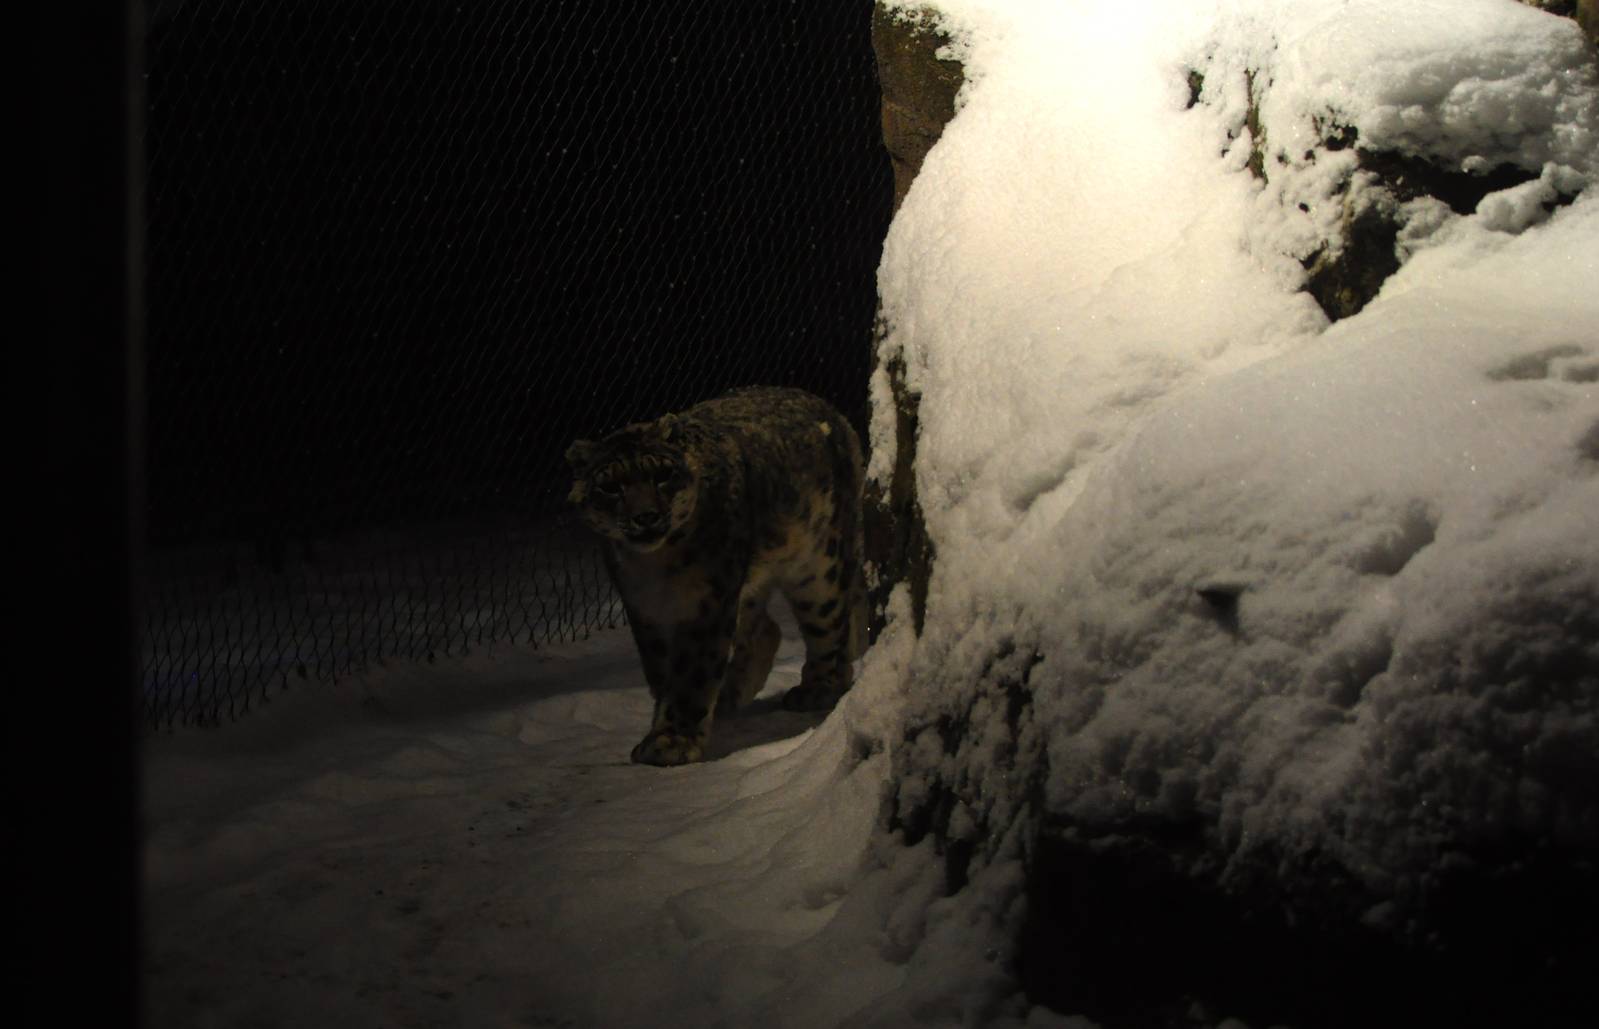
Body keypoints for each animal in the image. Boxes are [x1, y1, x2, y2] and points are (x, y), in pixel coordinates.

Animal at [566, 386, 869, 766]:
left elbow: (692, 671)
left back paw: (817, 688)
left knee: (829, 621)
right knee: (766, 629)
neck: (654, 568)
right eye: (610, 486)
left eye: (662, 475)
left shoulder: (705, 600)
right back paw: (727, 697)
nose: (646, 517)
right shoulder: (644, 608)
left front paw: (671, 741)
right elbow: (661, 669)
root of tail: (830, 410)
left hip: (816, 565)